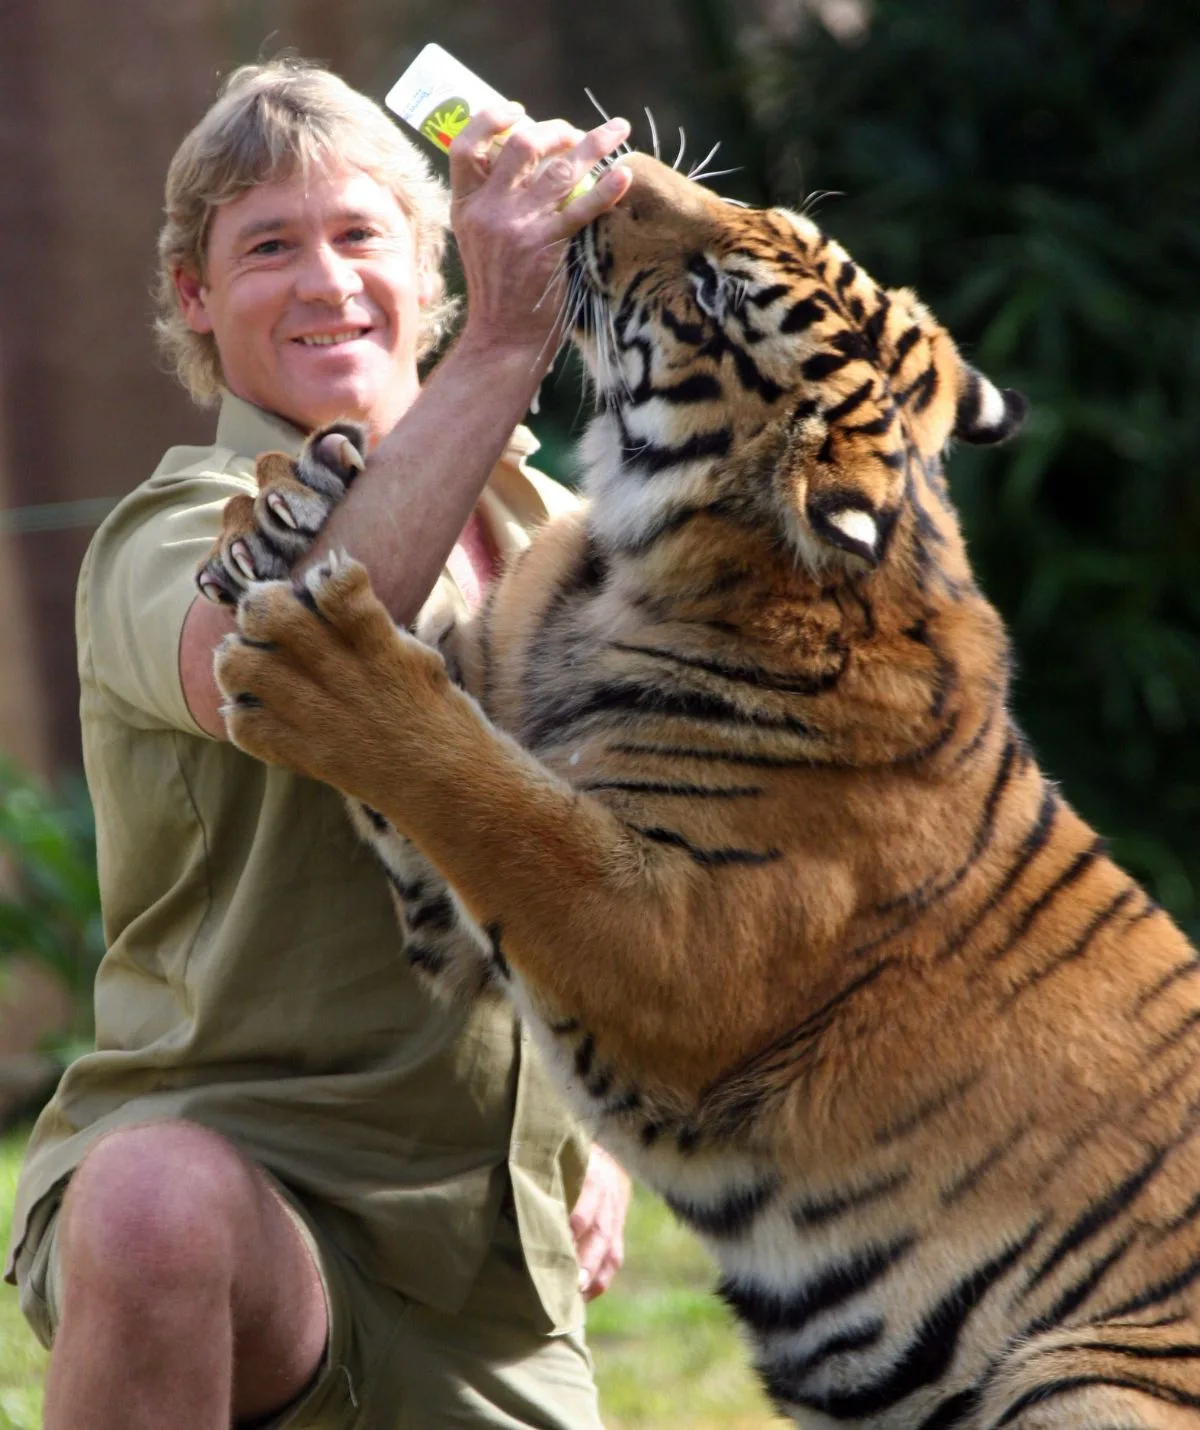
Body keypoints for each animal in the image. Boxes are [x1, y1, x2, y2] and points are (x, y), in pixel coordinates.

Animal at [202, 152, 1200, 1429]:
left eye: (721, 292)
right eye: (770, 218)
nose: (616, 166)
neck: (638, 565)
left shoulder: (669, 949)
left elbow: (501, 806)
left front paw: (321, 660)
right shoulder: (450, 902)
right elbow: (449, 708)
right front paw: (292, 499)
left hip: (1083, 1375)